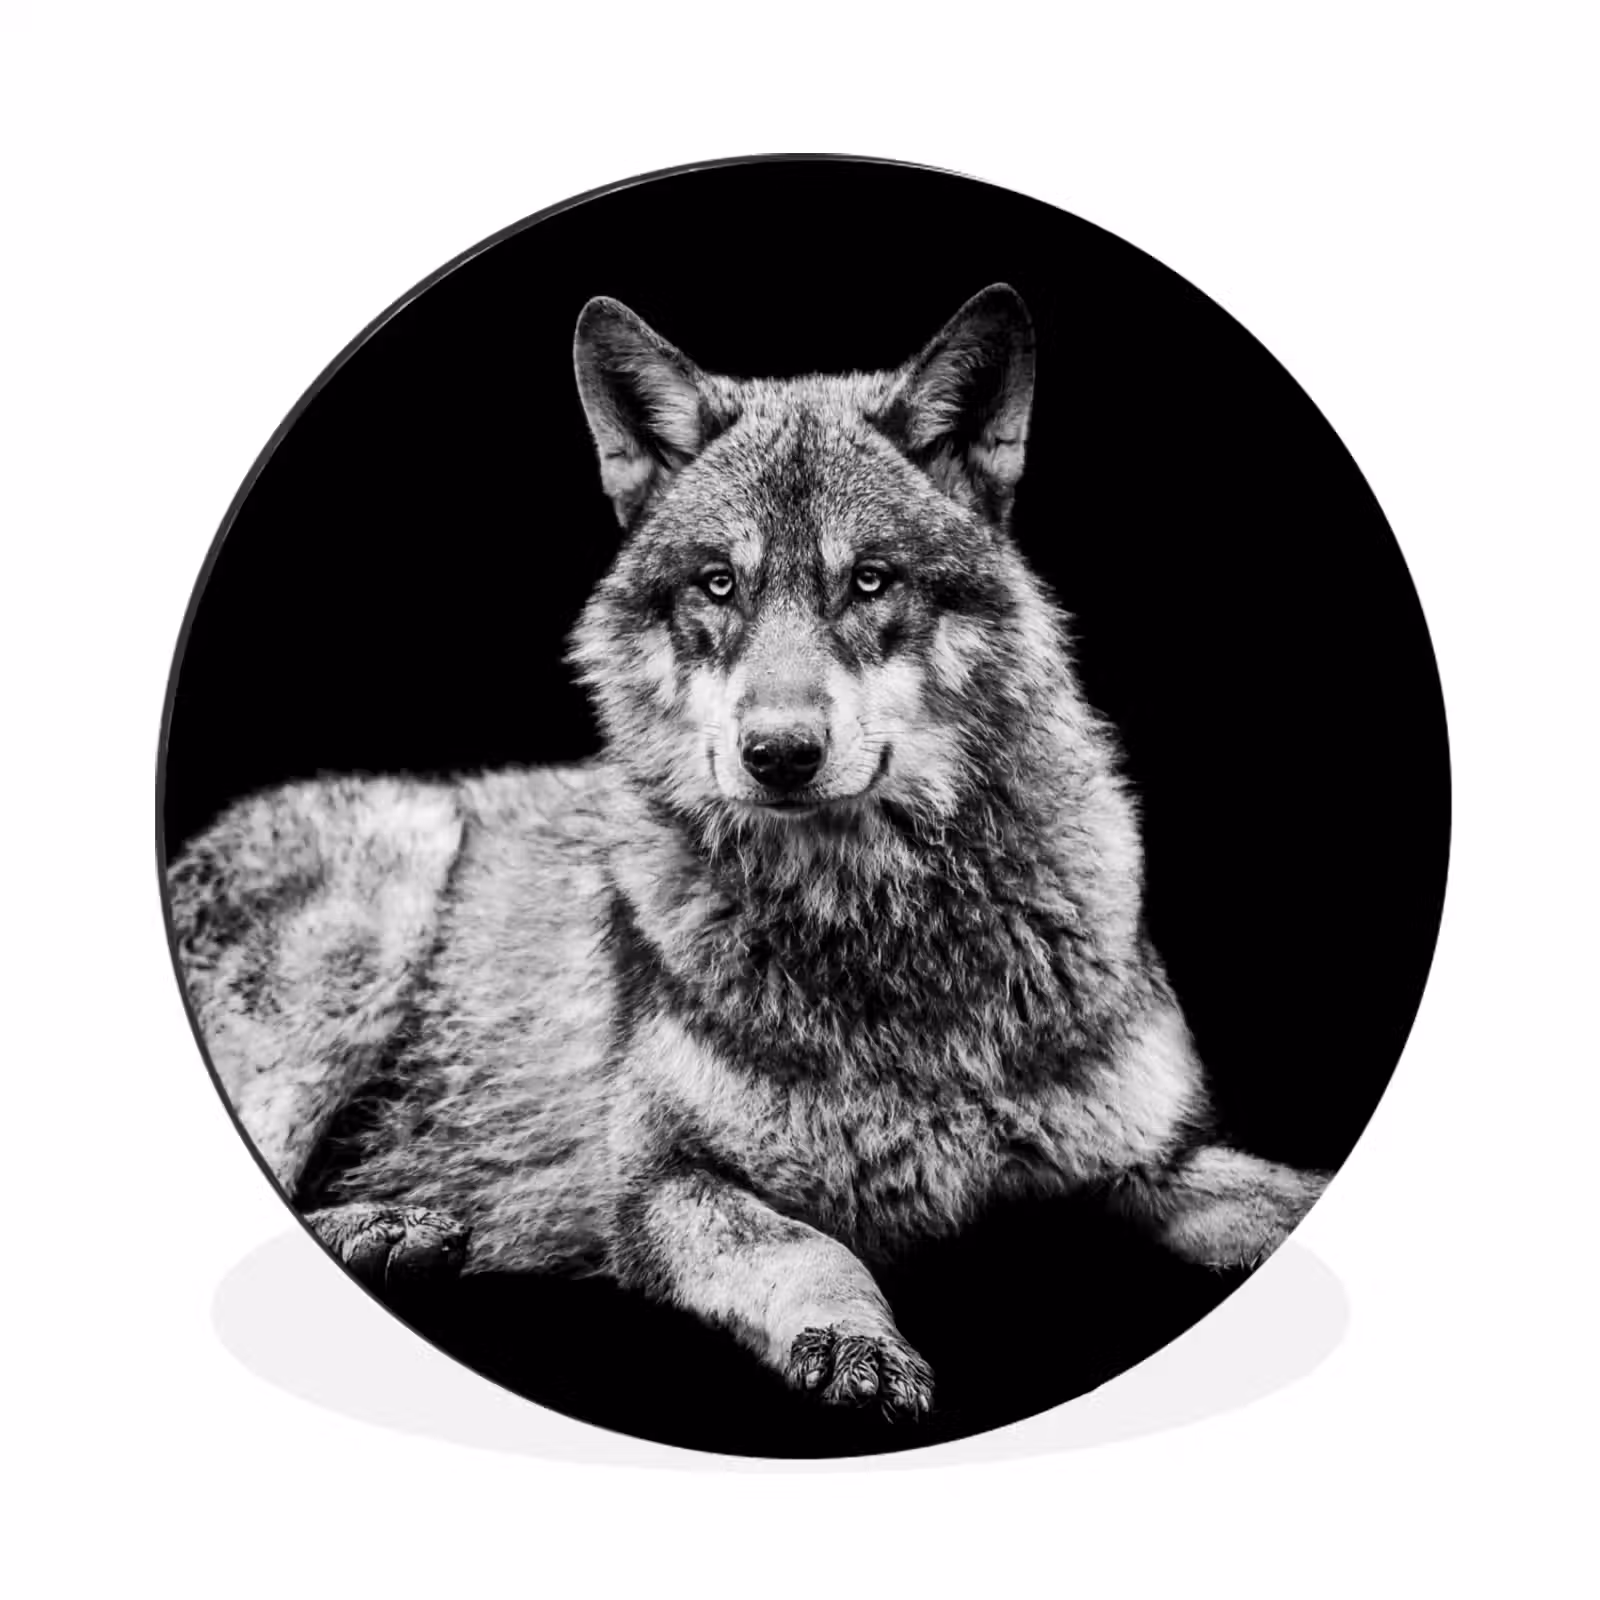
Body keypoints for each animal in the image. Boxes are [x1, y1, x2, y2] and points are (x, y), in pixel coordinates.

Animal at [167, 284, 1327, 1420]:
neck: (882, 933)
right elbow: (813, 1250)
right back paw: (388, 1227)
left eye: (869, 581)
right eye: (720, 584)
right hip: (384, 895)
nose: (778, 754)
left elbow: (1280, 1195)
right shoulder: (662, 1185)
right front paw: (857, 1344)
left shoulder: (1153, 1161)